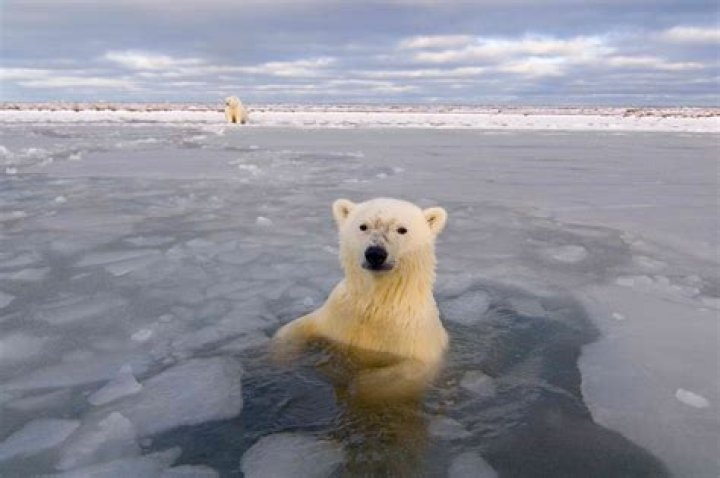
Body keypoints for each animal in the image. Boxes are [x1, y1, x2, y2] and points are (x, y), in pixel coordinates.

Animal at [273, 197, 449, 402]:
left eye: (402, 229)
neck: (377, 301)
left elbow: (405, 372)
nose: (375, 254)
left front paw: (356, 386)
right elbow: (293, 329)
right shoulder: (338, 315)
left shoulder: (414, 339)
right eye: (363, 226)